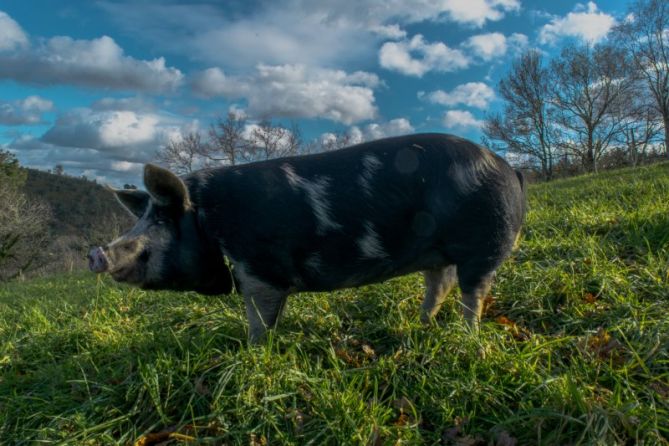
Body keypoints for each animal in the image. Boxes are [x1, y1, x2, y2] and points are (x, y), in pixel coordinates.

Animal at [90, 132, 528, 342]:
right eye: (141, 218)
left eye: (161, 221)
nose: (98, 253)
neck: (210, 219)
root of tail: (509, 168)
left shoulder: (260, 268)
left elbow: (259, 318)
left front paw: (254, 352)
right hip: (437, 253)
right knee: (439, 285)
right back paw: (420, 327)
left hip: (484, 245)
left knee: (473, 293)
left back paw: (467, 339)